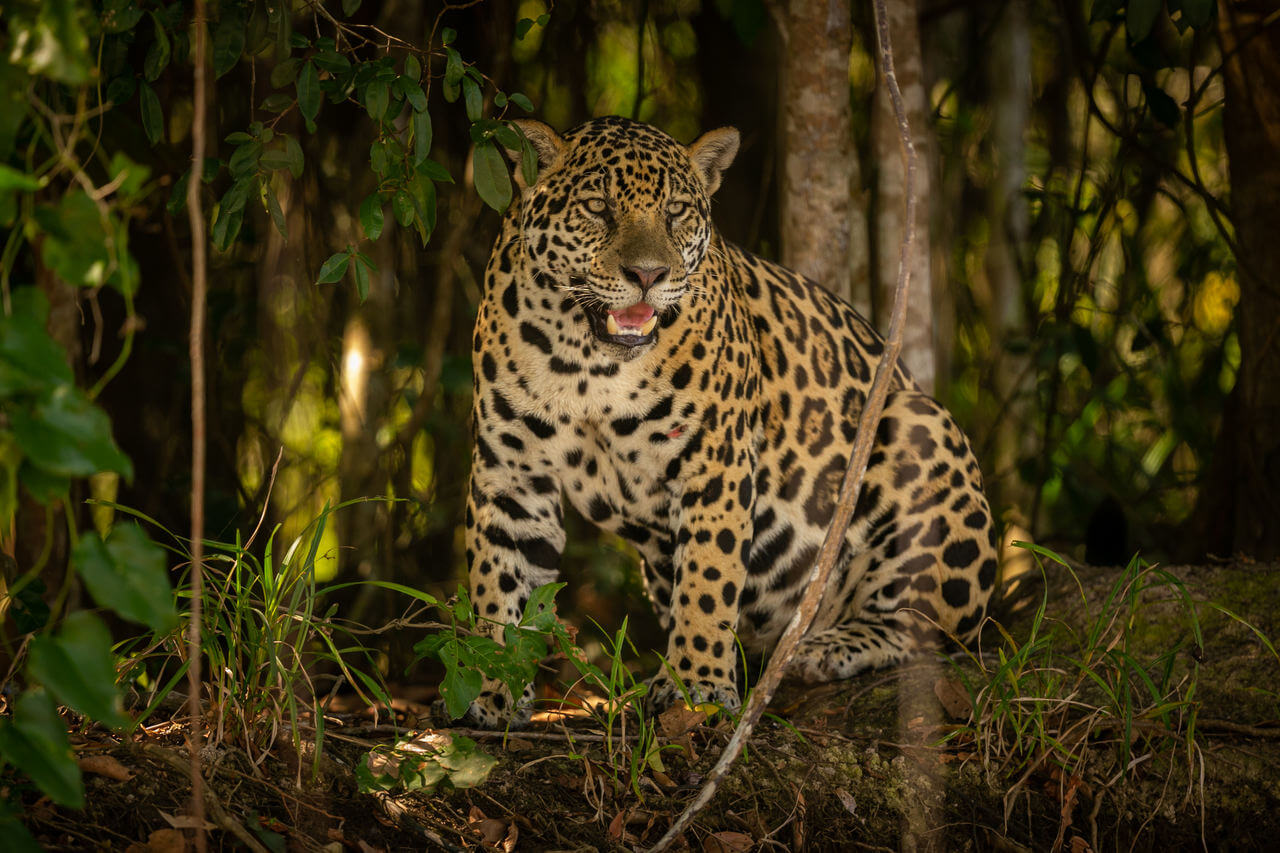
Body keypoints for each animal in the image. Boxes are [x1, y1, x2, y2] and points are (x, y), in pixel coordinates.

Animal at [462, 115, 997, 727]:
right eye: (597, 207)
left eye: (675, 212)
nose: (647, 274)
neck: (588, 362)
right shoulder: (511, 473)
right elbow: (499, 583)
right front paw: (495, 688)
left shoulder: (713, 459)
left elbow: (708, 578)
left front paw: (696, 687)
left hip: (918, 424)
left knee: (929, 627)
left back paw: (824, 647)